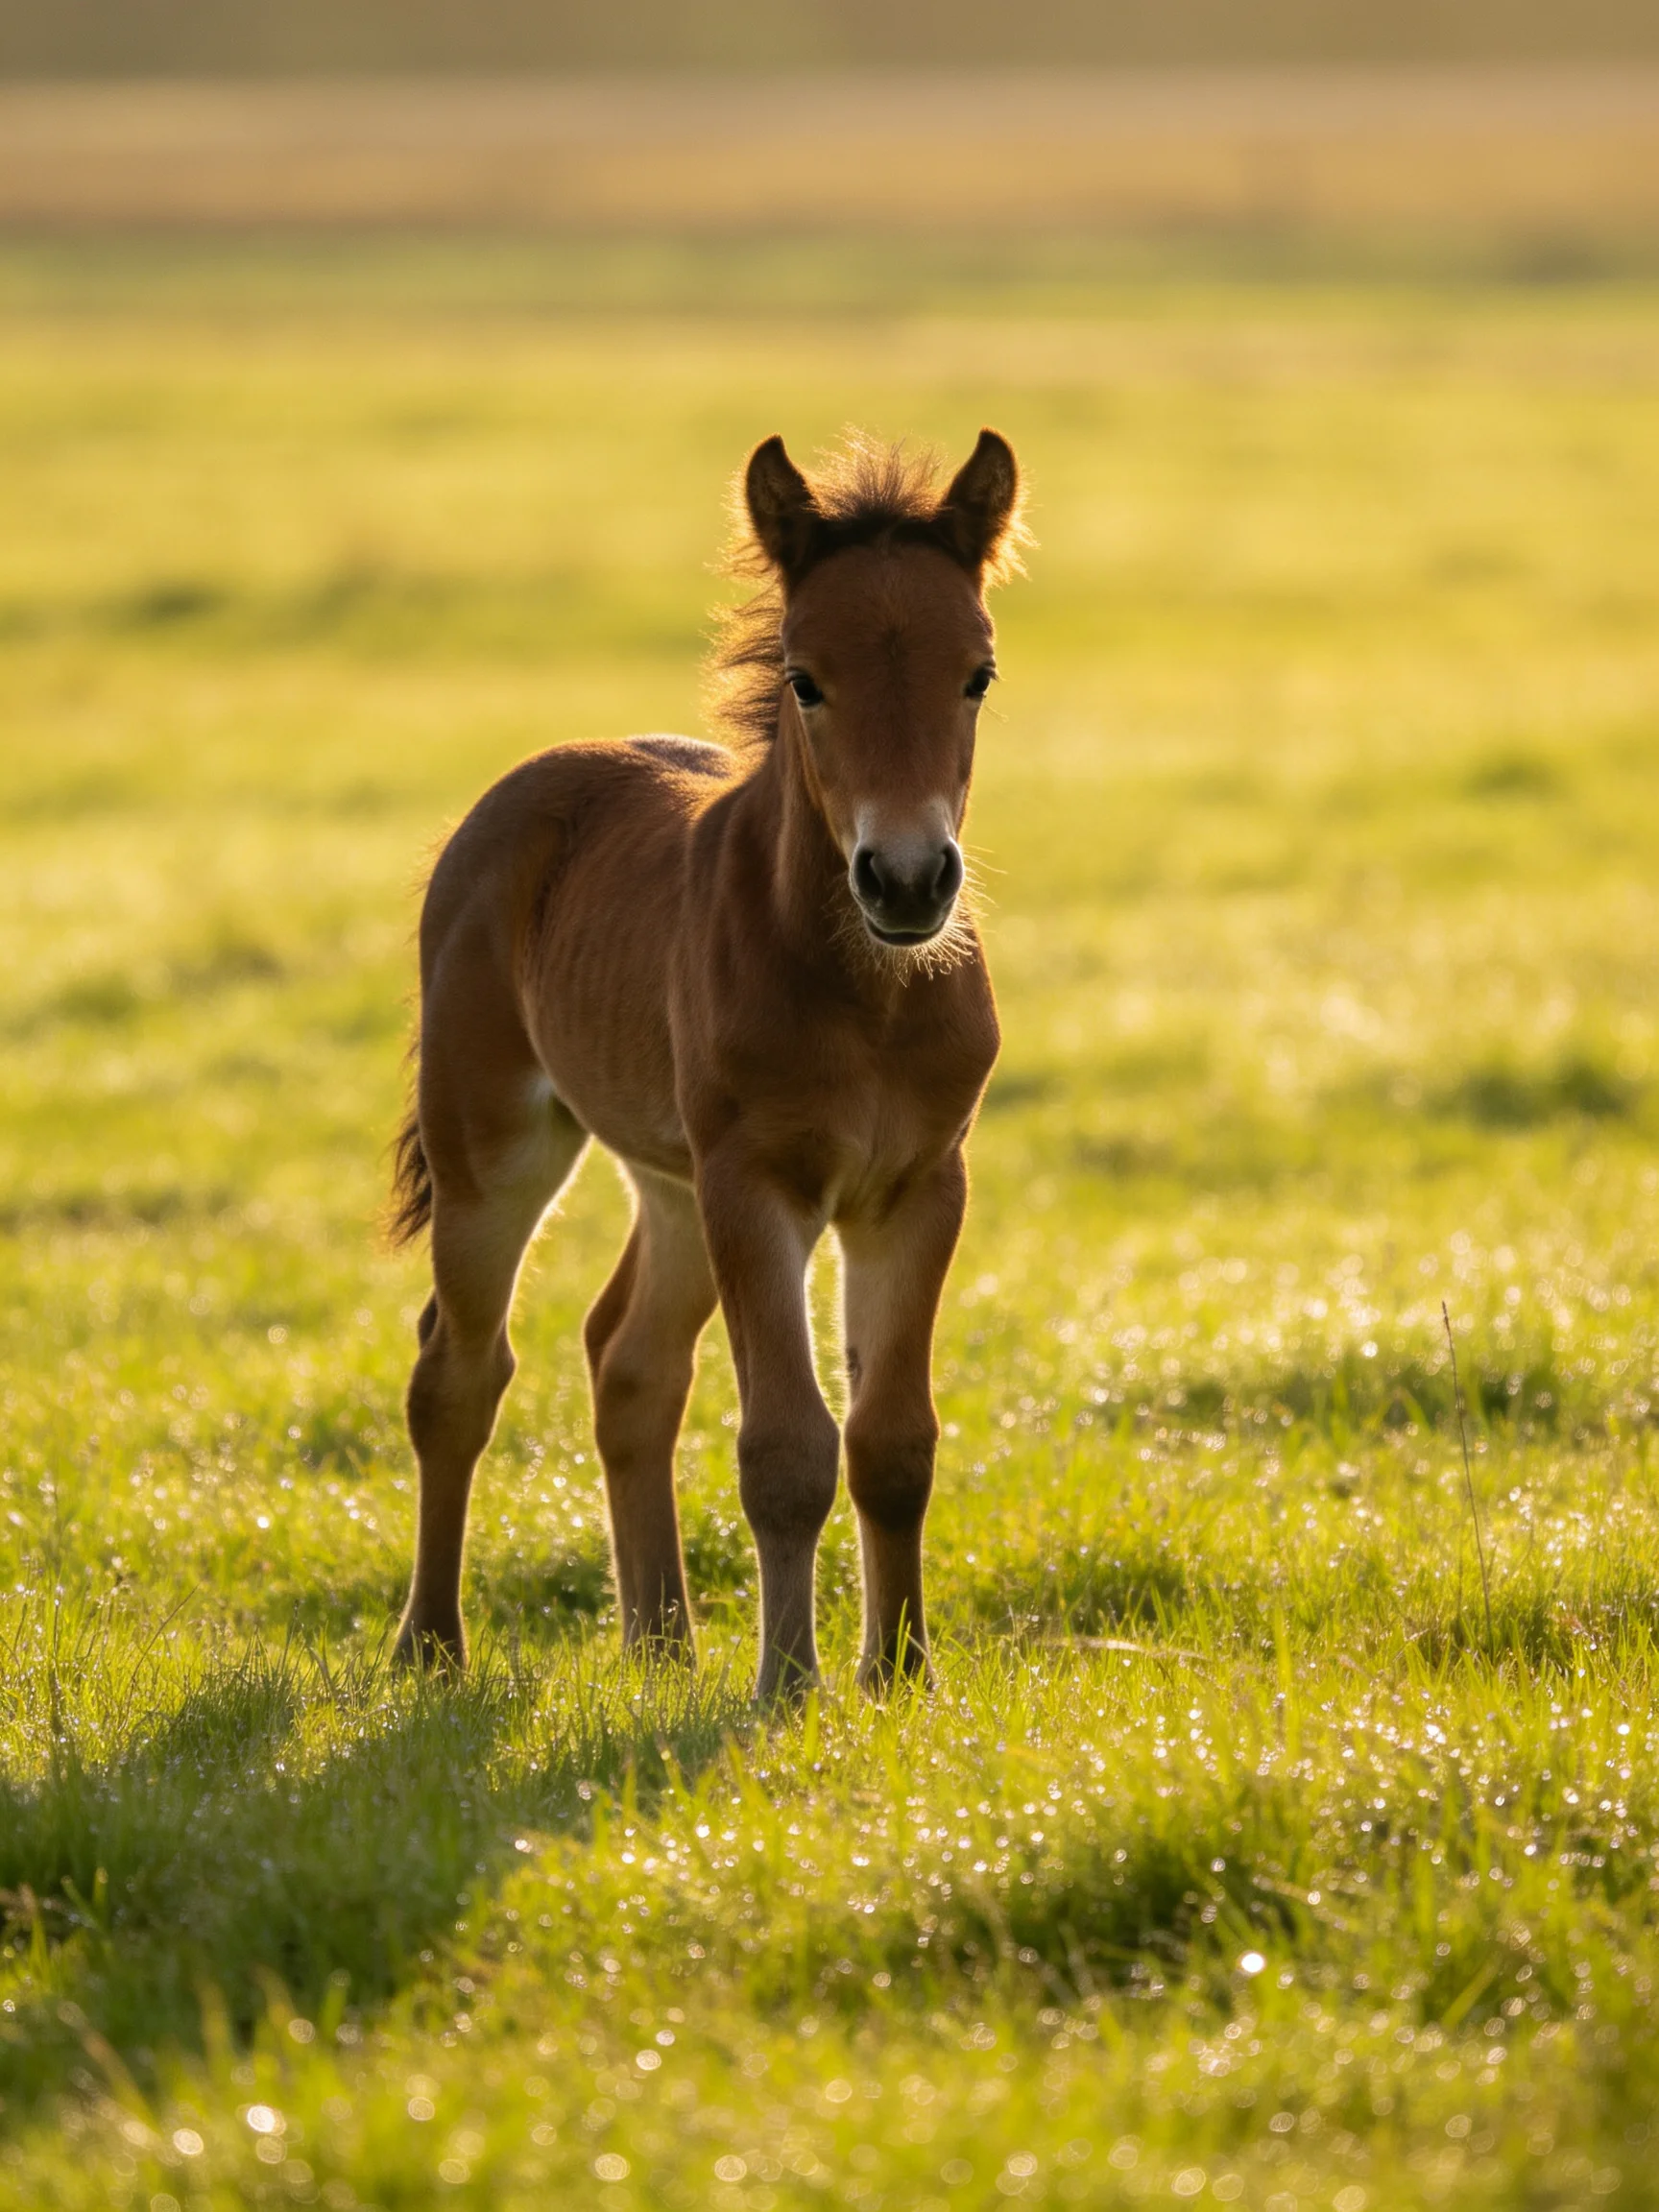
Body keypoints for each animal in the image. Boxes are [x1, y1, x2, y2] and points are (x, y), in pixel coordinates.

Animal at [387, 426, 1025, 1698]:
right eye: (805, 679)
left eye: (976, 674)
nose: (908, 879)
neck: (866, 994)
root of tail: (513, 796)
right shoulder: (755, 1182)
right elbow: (787, 1446)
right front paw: (789, 1683)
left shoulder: (918, 1186)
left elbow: (893, 1441)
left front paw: (902, 1675)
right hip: (495, 1149)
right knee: (457, 1375)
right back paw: (432, 1647)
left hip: (670, 1180)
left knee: (628, 1363)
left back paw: (660, 1643)